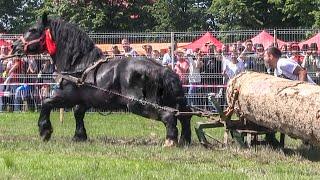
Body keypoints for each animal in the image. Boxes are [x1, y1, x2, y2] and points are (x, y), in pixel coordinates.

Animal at [11, 13, 191, 146]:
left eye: (33, 29)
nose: (14, 46)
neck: (78, 64)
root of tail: (162, 70)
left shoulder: (66, 96)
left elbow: (46, 103)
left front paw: (45, 131)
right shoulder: (83, 99)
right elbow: (78, 113)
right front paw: (79, 136)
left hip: (138, 104)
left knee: (169, 115)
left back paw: (170, 140)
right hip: (173, 100)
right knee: (185, 115)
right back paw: (185, 140)